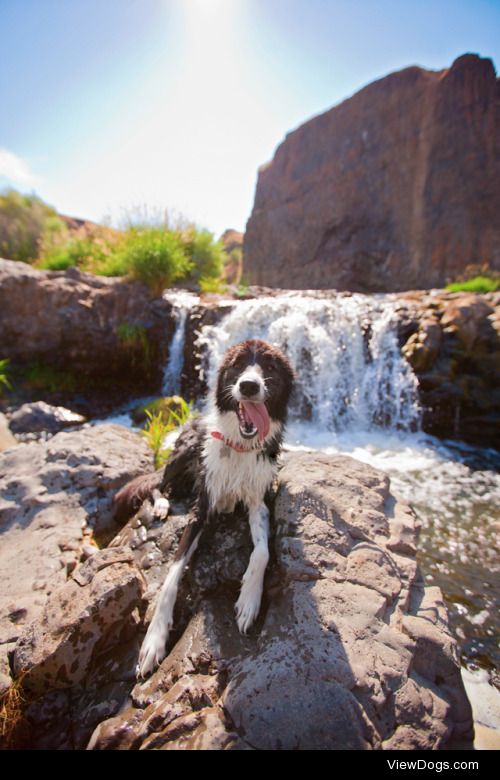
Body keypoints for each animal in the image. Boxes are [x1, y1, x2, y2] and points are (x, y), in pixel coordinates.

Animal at [115, 340, 294, 676]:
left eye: (270, 367)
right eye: (238, 365)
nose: (249, 386)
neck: (239, 446)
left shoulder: (259, 500)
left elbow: (262, 552)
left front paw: (249, 599)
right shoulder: (202, 507)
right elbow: (172, 576)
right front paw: (154, 640)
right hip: (185, 452)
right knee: (160, 482)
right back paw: (161, 503)